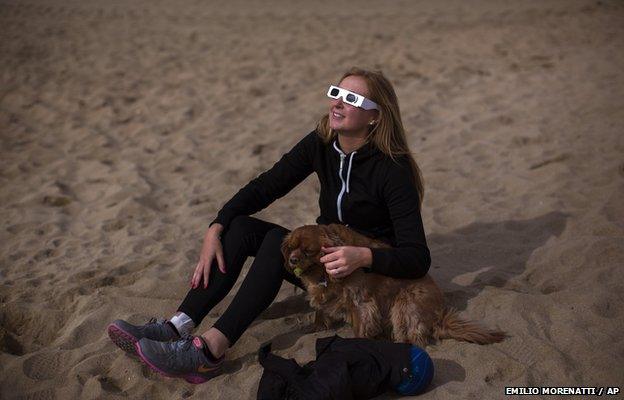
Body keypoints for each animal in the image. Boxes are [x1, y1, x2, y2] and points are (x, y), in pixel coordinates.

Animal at [282, 225, 508, 346]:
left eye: (308, 251)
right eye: (291, 248)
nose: (292, 260)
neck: (322, 273)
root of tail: (439, 316)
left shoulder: (362, 302)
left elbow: (360, 327)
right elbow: (320, 312)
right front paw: (315, 328)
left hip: (404, 304)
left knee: (413, 338)